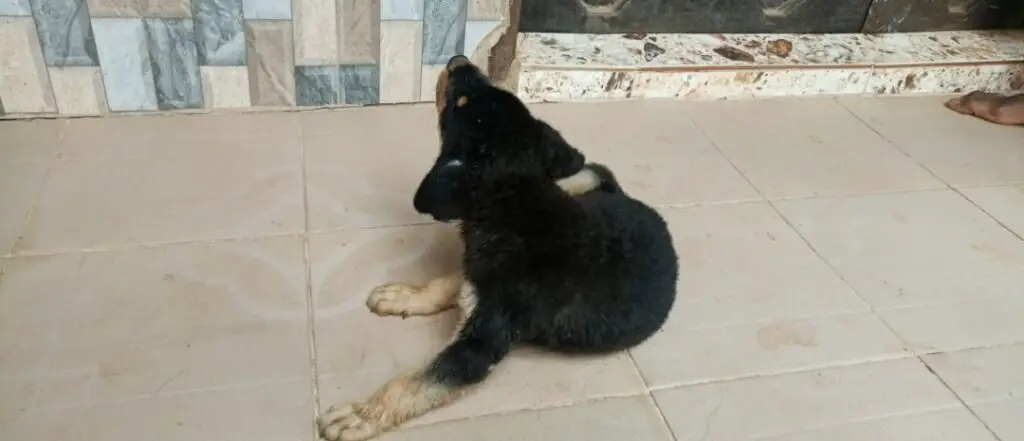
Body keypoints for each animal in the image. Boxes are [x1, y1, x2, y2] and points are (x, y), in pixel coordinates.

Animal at [315, 55, 675, 441]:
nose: (458, 60)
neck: (514, 205)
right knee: (589, 172)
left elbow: (411, 384)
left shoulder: (479, 344)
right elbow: (447, 282)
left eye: (460, 104)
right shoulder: (476, 273)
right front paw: (404, 296)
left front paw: (361, 414)